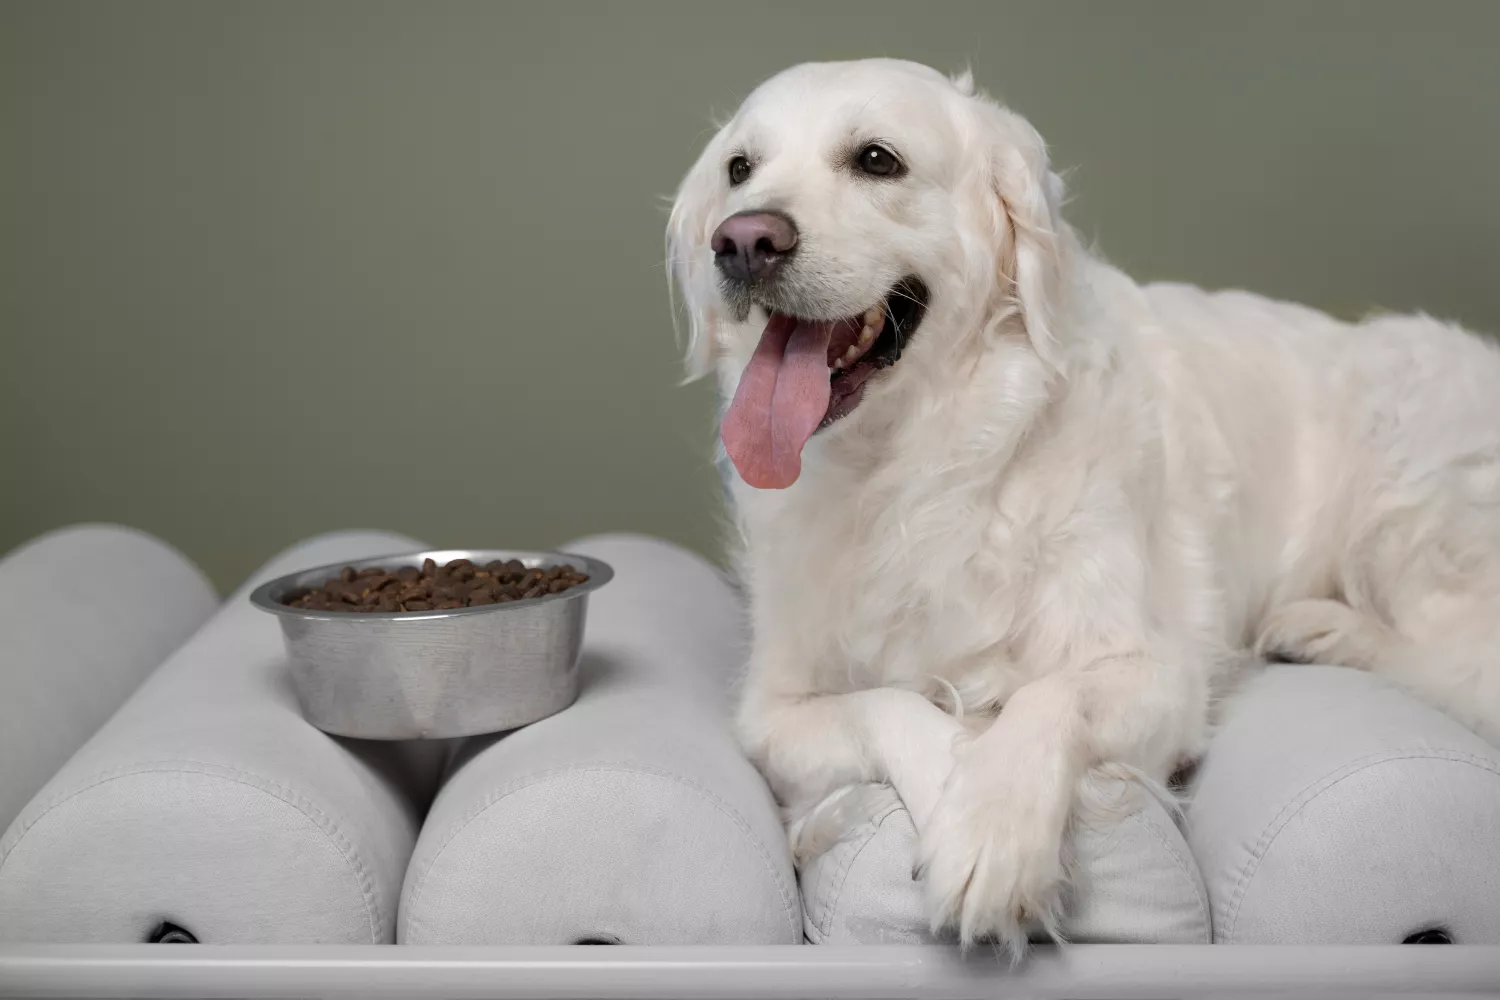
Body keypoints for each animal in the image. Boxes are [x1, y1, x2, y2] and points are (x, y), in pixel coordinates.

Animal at [663, 58, 1500, 953]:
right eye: (739, 169)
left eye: (877, 160)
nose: (742, 241)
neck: (917, 465)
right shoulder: (770, 713)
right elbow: (886, 705)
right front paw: (955, 783)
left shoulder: (1161, 675)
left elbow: (1050, 694)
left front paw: (992, 829)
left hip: (1406, 476)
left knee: (1455, 653)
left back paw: (1328, 629)